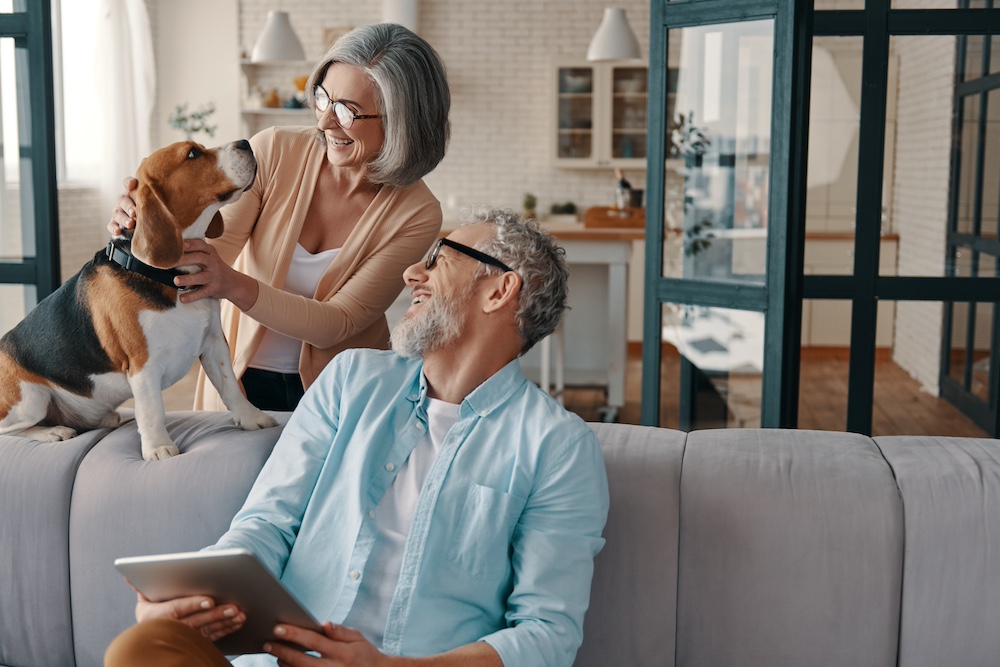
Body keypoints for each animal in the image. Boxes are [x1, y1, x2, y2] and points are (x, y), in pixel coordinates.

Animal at [0, 141, 278, 462]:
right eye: (193, 154)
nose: (246, 143)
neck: (168, 275)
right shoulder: (142, 365)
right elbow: (153, 410)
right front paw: (159, 448)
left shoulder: (213, 342)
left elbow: (229, 385)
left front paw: (252, 418)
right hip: (30, 400)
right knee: (11, 430)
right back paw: (52, 431)